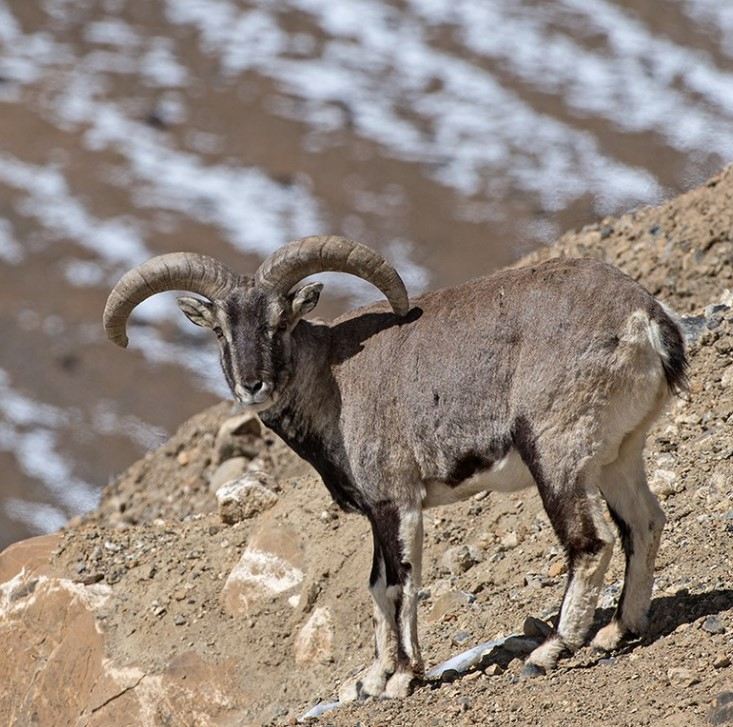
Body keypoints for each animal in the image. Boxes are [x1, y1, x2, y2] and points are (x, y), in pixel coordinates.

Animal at [103, 237, 688, 700]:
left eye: (281, 322)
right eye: (221, 330)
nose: (253, 384)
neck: (332, 381)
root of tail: (645, 320)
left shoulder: (396, 500)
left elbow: (402, 583)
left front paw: (404, 677)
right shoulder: (375, 512)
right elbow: (376, 585)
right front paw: (372, 678)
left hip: (557, 455)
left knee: (590, 543)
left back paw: (551, 649)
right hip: (618, 454)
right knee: (644, 523)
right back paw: (619, 629)